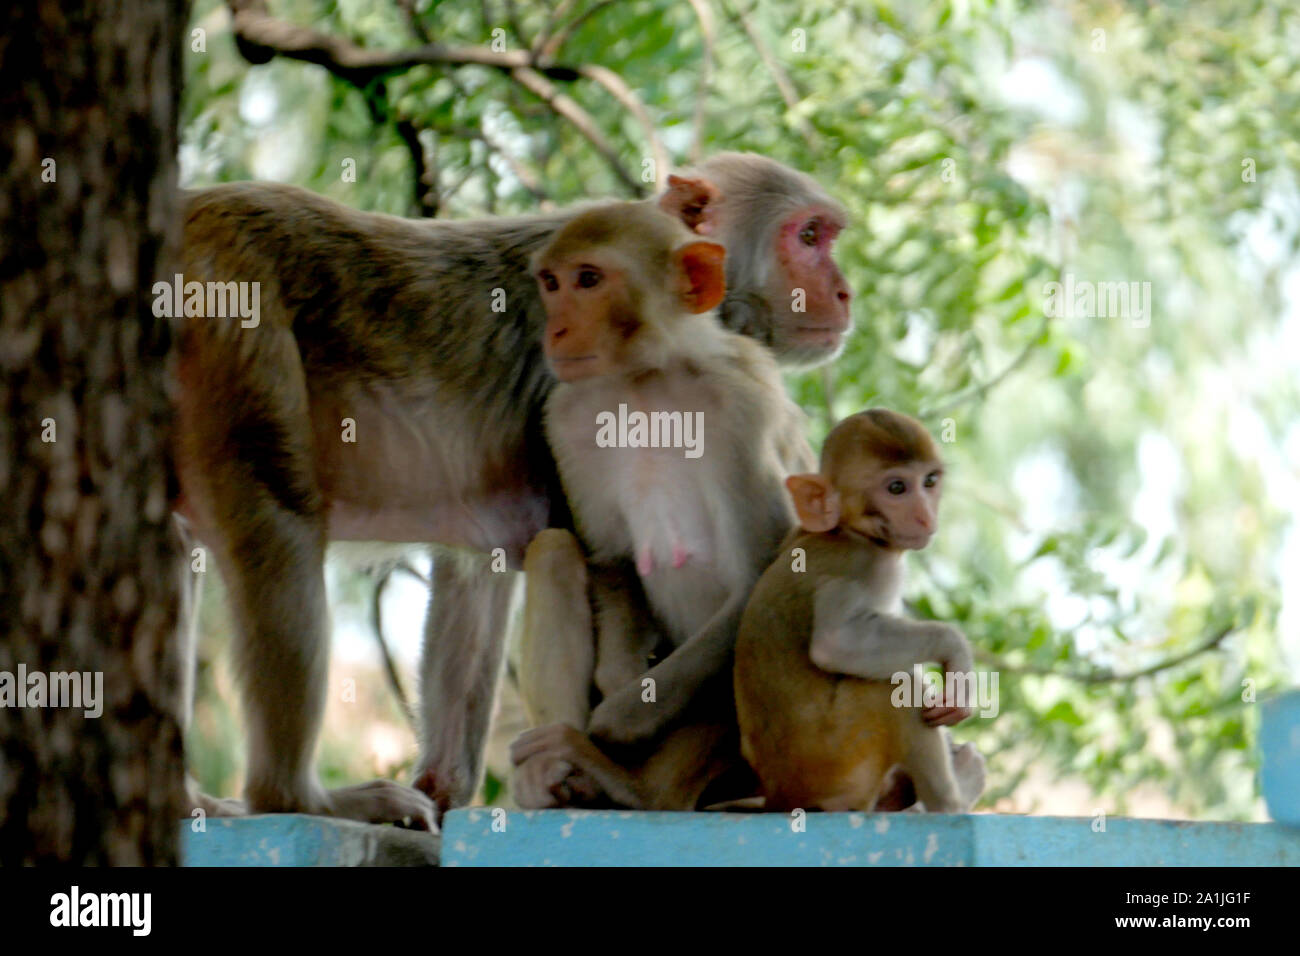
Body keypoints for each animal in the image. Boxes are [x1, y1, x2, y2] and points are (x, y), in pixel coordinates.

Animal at [172, 153, 852, 827]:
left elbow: (477, 577)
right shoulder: (572, 401)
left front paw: (445, 789)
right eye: (808, 237)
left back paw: (191, 799)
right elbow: (584, 547)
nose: (844, 291)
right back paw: (294, 798)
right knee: (278, 514)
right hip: (232, 304)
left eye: (825, 235)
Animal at [738, 408, 977, 811]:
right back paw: (953, 800)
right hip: (840, 766)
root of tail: (779, 794)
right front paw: (954, 650)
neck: (847, 531)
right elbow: (836, 643)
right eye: (896, 488)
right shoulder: (865, 566)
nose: (926, 517)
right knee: (891, 686)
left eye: (929, 481)